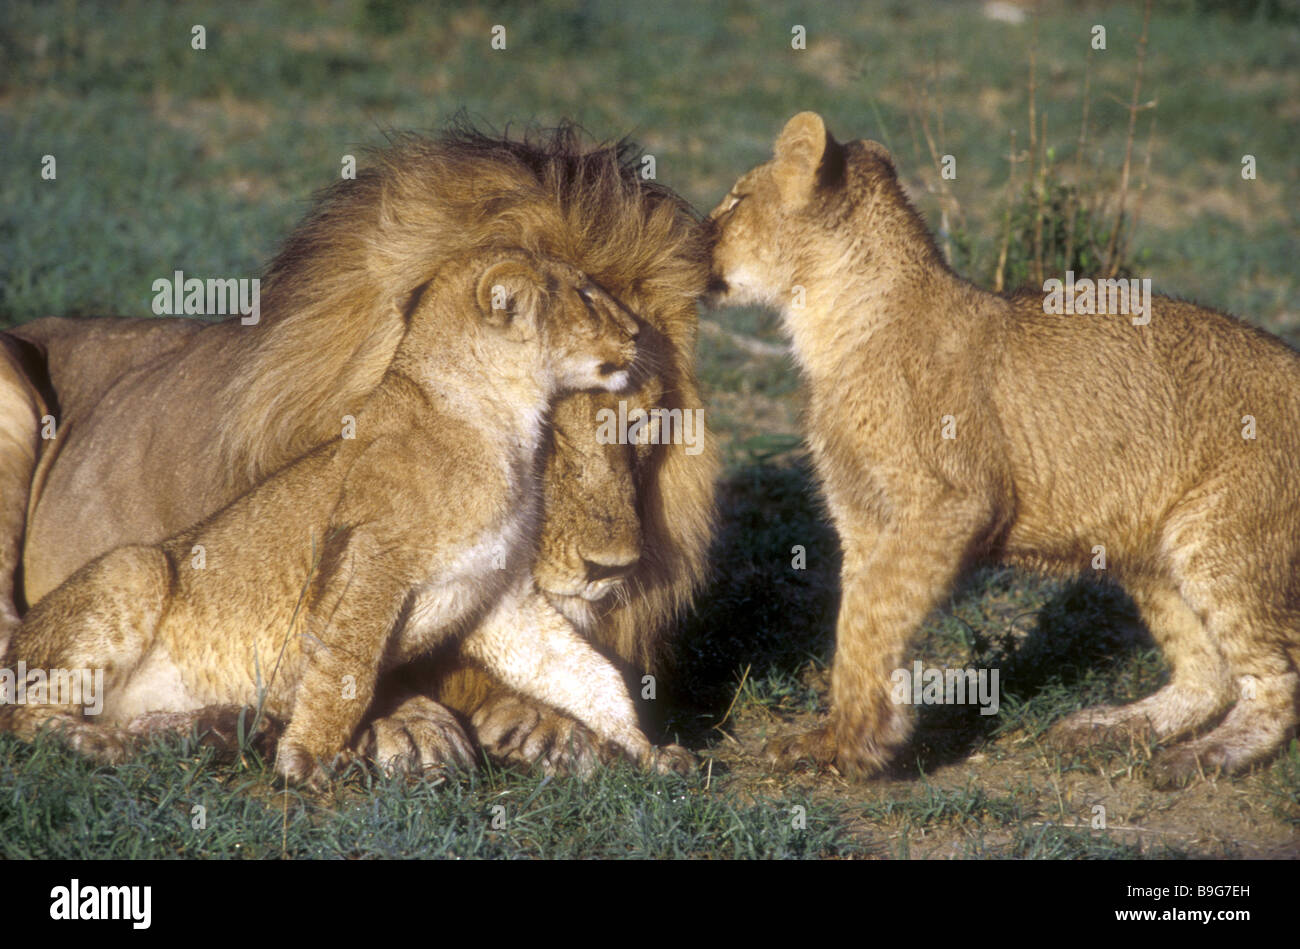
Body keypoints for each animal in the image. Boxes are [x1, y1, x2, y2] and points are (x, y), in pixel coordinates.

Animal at [0, 122, 722, 774]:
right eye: (549, 433)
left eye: (640, 426)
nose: (613, 569)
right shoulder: (361, 561)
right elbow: (348, 665)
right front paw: (393, 734)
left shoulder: (500, 597)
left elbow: (579, 669)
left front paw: (591, 735)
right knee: (24, 699)